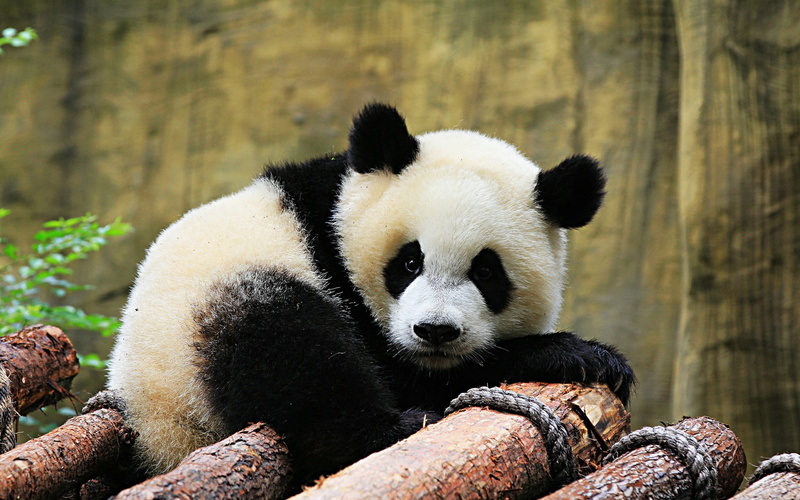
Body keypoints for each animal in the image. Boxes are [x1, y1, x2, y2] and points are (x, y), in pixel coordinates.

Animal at [107, 103, 634, 484]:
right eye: (409, 261)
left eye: (487, 272)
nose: (435, 331)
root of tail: (157, 436)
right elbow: (406, 373)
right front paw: (577, 354)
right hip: (204, 327)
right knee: (290, 356)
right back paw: (402, 425)